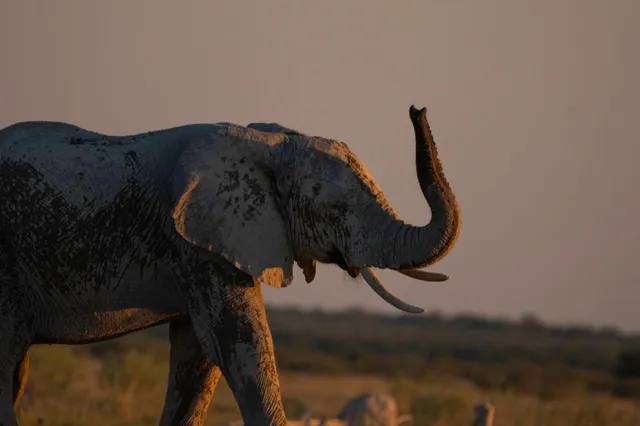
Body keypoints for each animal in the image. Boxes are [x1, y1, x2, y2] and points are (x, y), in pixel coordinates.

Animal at [0, 104, 461, 425]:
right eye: (335, 210)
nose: (416, 109)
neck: (269, 142)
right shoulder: (199, 243)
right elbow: (239, 343)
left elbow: (199, 358)